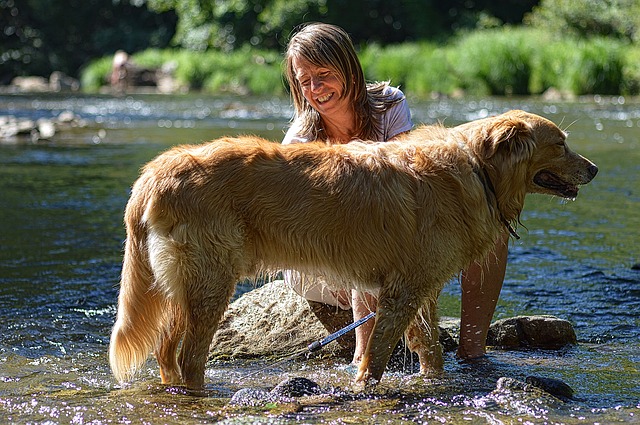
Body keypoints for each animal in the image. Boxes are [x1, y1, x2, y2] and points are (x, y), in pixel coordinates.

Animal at [109, 109, 596, 388]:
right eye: (560, 144)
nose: (593, 169)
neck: (478, 168)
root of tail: (154, 172)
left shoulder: (420, 289)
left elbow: (429, 348)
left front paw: (432, 382)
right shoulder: (402, 292)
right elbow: (377, 354)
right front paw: (364, 389)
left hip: (185, 288)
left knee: (166, 349)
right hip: (211, 282)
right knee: (189, 356)